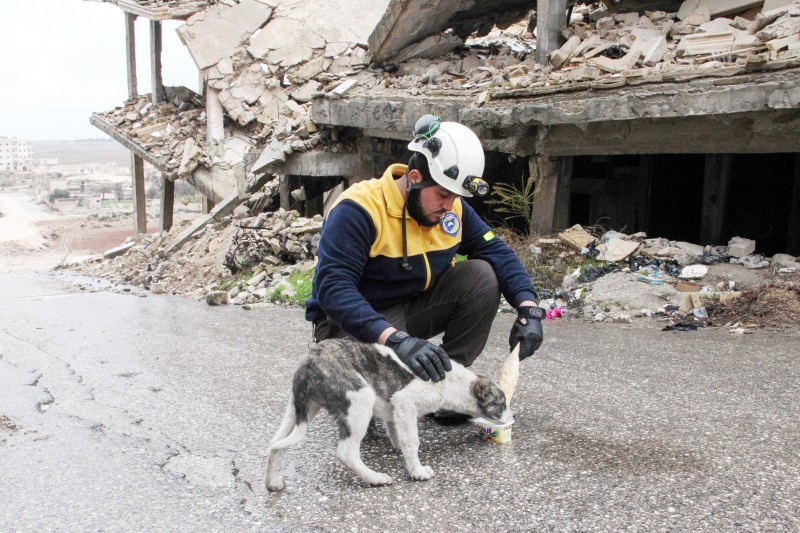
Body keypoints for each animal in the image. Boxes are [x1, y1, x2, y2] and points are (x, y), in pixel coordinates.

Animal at [262, 338, 512, 488]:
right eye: (501, 403)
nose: (514, 417)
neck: (453, 383)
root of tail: (309, 362)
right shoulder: (406, 402)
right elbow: (412, 441)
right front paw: (417, 471)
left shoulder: (396, 410)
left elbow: (398, 432)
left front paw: (400, 448)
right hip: (360, 400)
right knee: (346, 452)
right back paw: (374, 478)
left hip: (298, 410)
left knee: (276, 446)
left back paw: (272, 483)